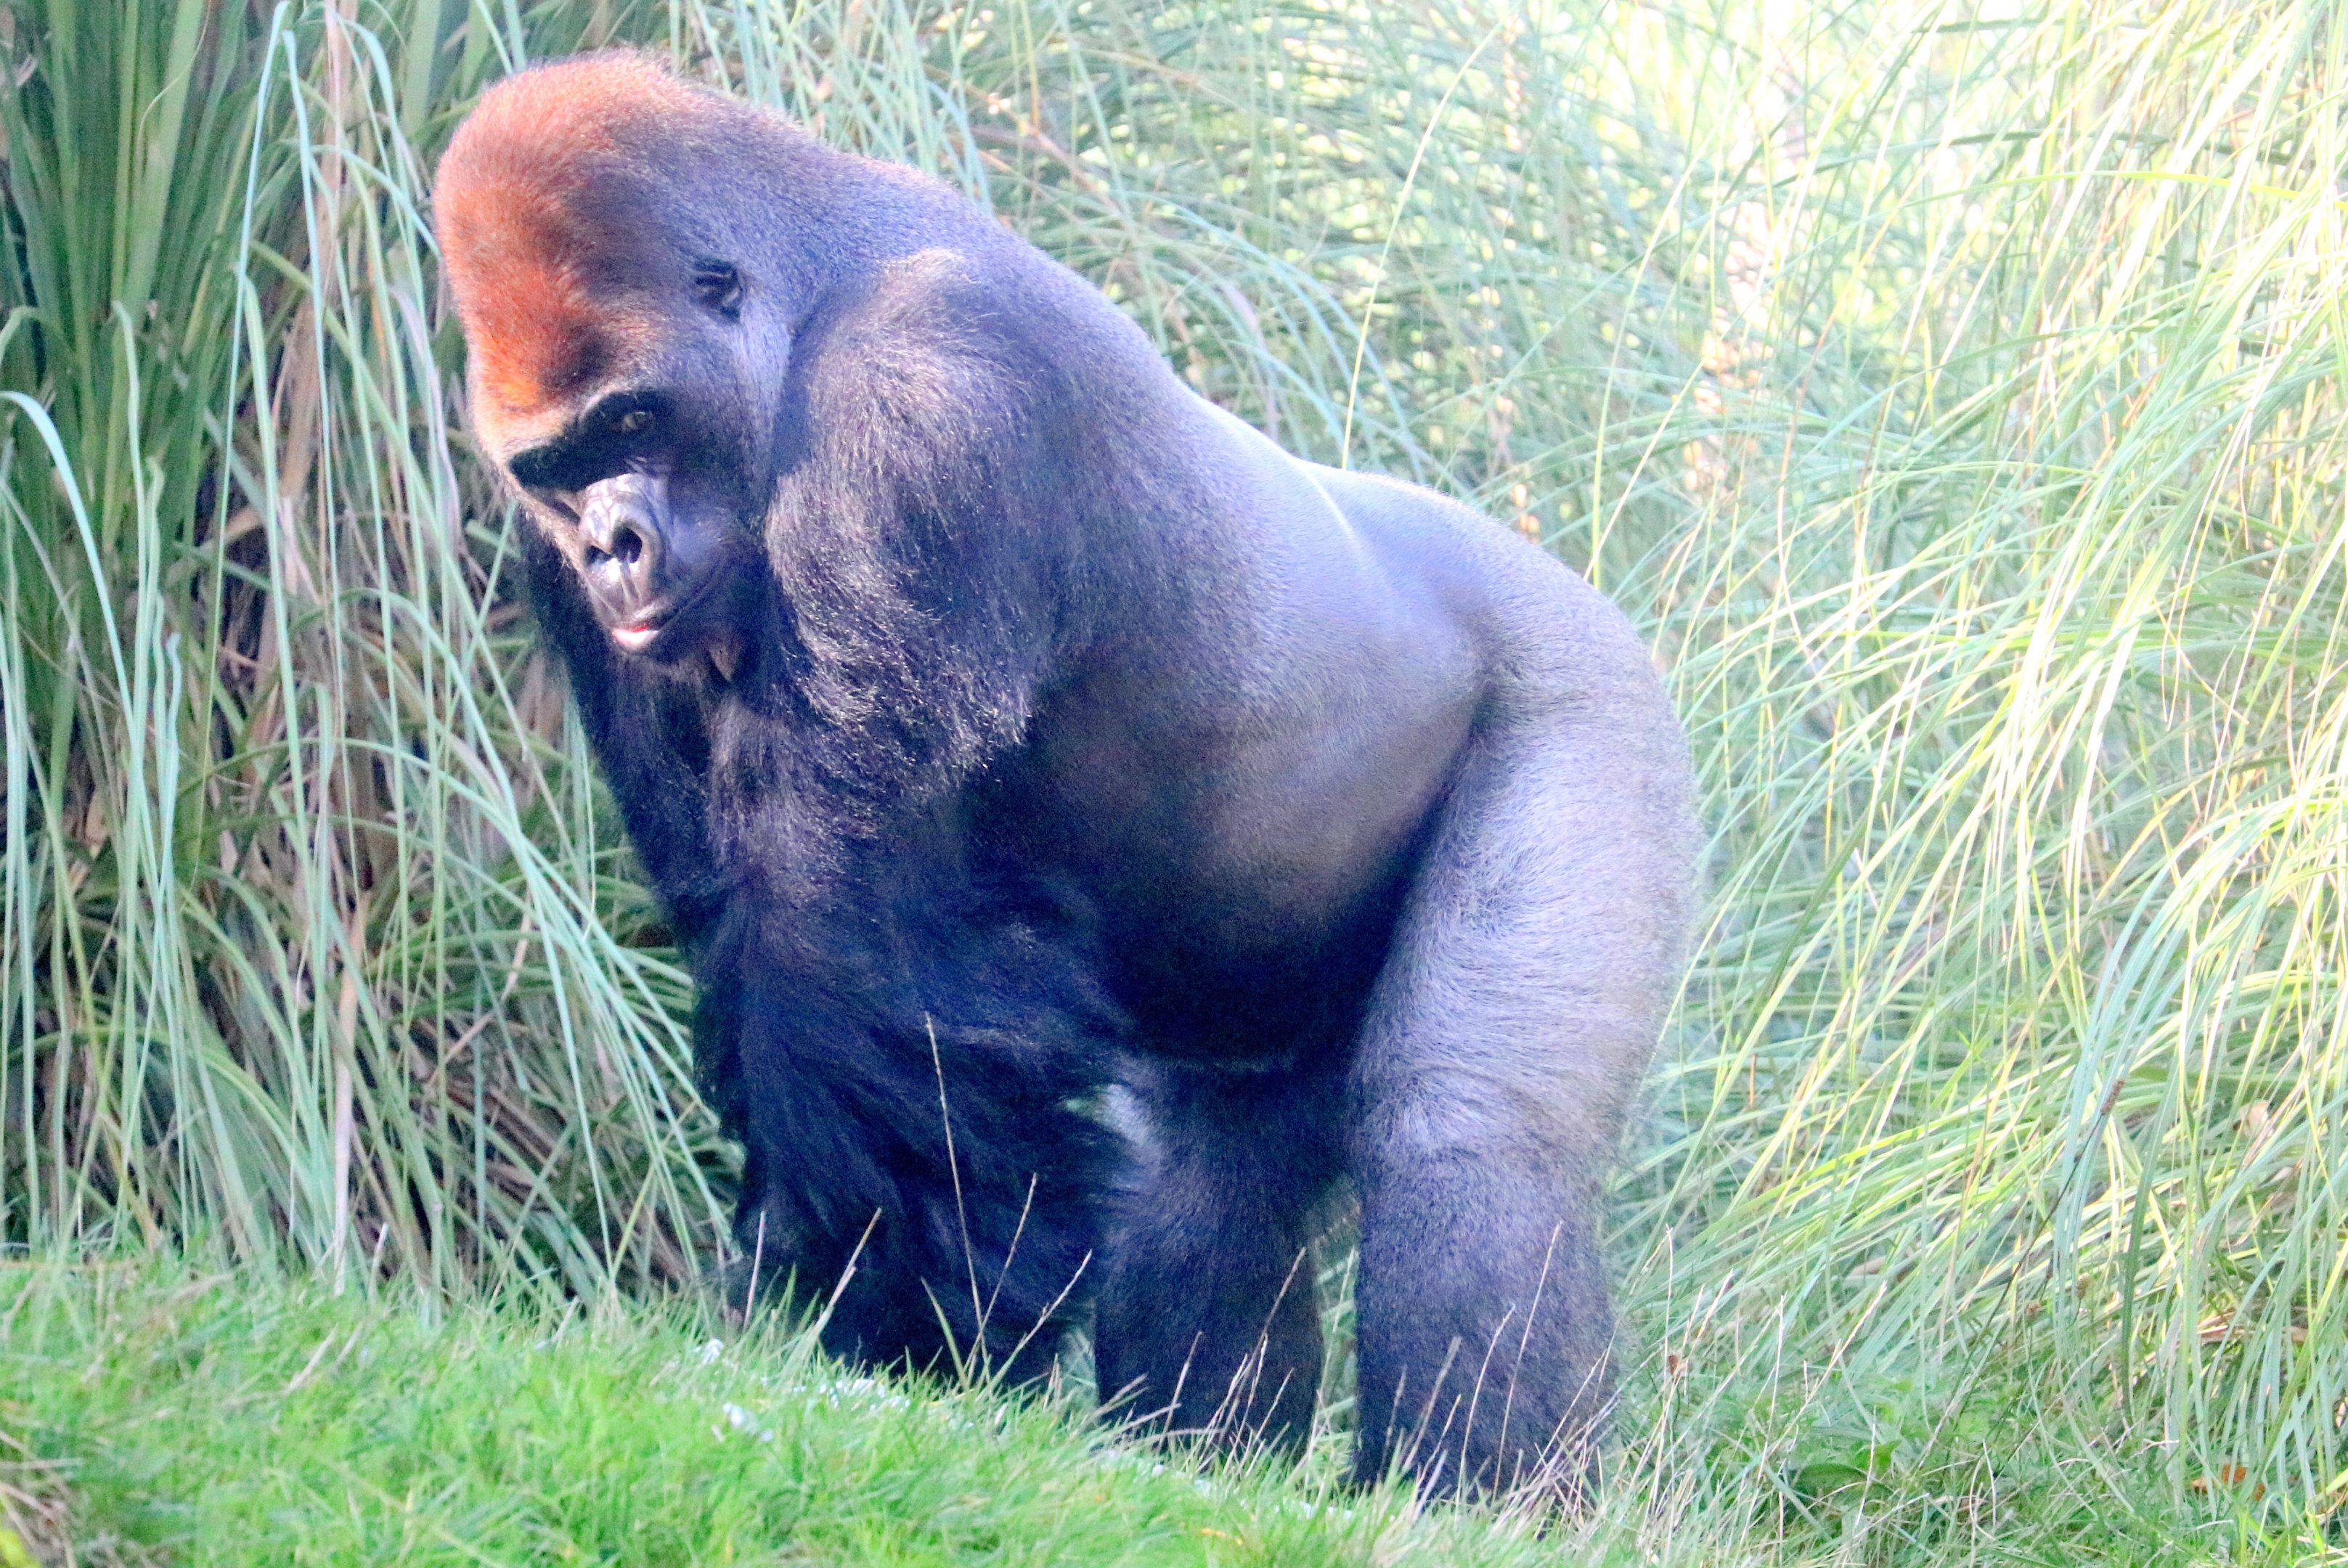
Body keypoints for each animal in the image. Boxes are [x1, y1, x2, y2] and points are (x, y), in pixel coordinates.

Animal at [433, 52, 1698, 1499]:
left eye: (633, 419)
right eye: (557, 469)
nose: (615, 545)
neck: (808, 295)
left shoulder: (931, 391)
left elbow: (842, 930)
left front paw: (904, 1328)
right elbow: (764, 924)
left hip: (1591, 695)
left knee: (1472, 1137)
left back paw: (1474, 1502)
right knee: (1202, 1178)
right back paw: (1198, 1458)